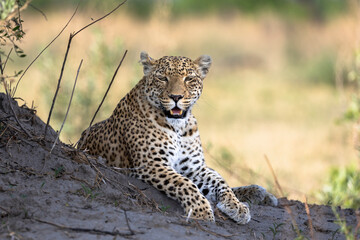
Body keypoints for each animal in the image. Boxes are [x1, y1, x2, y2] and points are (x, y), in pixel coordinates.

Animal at [77, 51, 278, 224]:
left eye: (189, 78)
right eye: (162, 78)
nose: (176, 96)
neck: (179, 128)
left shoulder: (194, 168)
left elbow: (220, 181)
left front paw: (236, 206)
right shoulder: (151, 164)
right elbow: (184, 184)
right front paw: (201, 211)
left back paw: (260, 193)